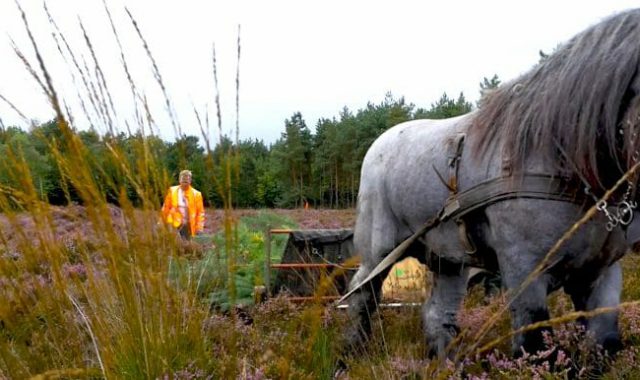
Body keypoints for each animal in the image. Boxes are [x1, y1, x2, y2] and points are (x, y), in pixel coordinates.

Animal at [344, 8, 640, 360]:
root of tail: (380, 141)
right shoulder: (523, 271)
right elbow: (535, 343)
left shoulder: (602, 273)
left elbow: (604, 343)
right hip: (379, 251)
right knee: (362, 295)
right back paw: (351, 356)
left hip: (448, 260)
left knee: (437, 313)